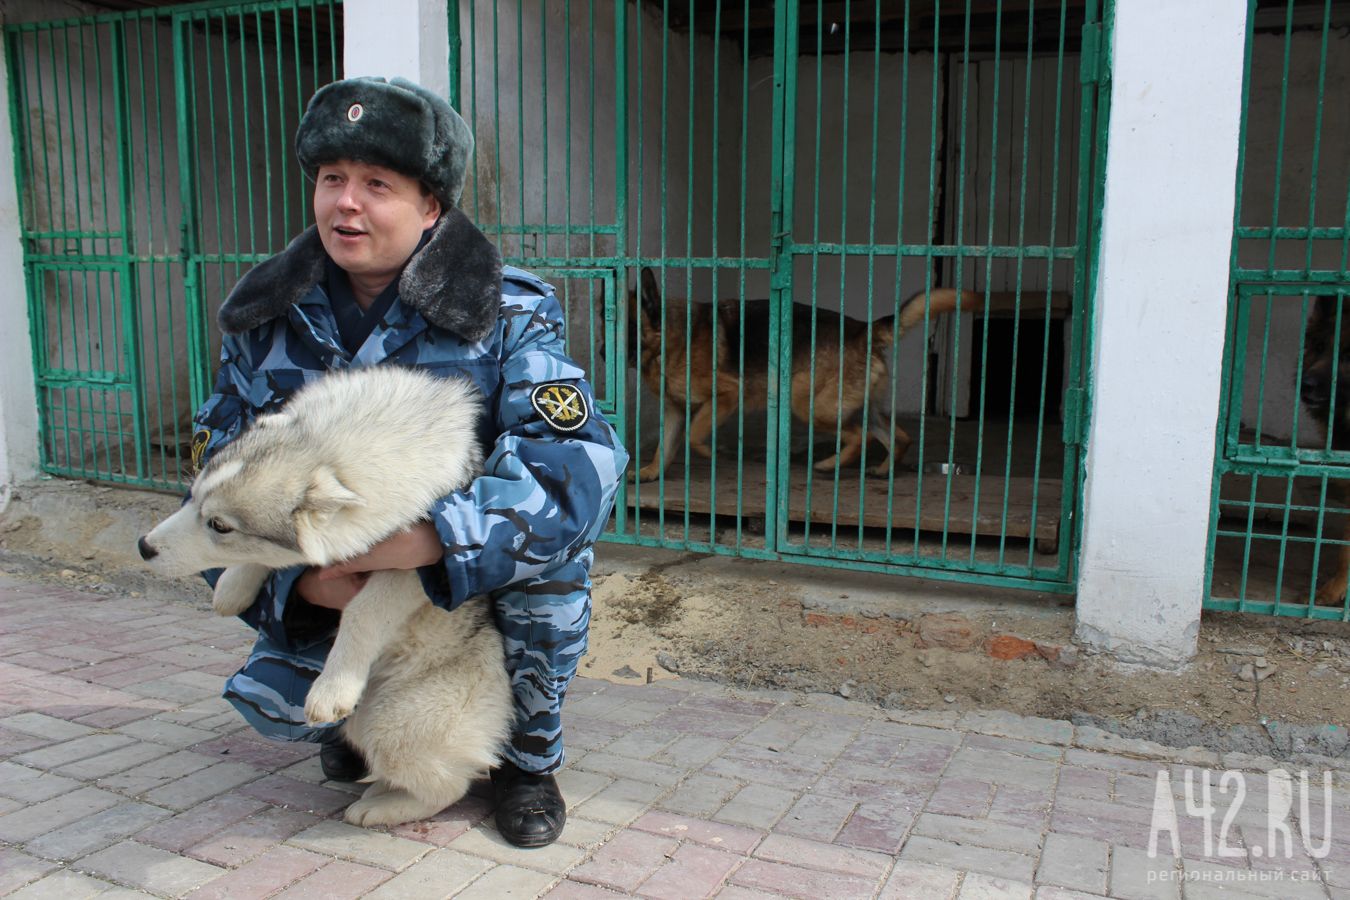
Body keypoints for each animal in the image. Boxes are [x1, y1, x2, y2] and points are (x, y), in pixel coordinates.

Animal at [137, 361, 513, 825]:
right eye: (192, 500)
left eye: (220, 526)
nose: (144, 547)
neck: (336, 435)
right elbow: (274, 558)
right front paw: (232, 587)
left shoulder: (415, 564)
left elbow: (362, 611)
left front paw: (331, 689)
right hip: (366, 724)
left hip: (394, 726)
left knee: (451, 784)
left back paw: (381, 808)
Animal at [626, 267, 988, 483]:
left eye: (627, 326)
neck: (671, 337)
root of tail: (863, 331)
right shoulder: (675, 410)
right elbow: (664, 447)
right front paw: (649, 473)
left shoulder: (727, 395)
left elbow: (693, 435)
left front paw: (708, 453)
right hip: (858, 407)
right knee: (899, 436)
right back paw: (883, 471)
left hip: (809, 405)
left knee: (861, 436)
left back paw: (830, 465)